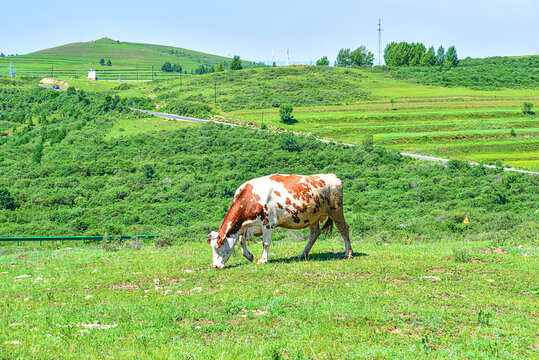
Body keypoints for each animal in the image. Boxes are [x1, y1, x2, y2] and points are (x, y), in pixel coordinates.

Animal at [208, 173, 354, 268]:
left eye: (218, 247)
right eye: (212, 247)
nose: (215, 266)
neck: (249, 198)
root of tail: (332, 176)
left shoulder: (268, 223)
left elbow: (265, 243)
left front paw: (263, 260)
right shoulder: (246, 226)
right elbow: (241, 241)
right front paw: (249, 256)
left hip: (336, 210)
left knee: (344, 229)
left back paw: (348, 254)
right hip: (313, 217)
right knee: (314, 233)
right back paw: (302, 254)